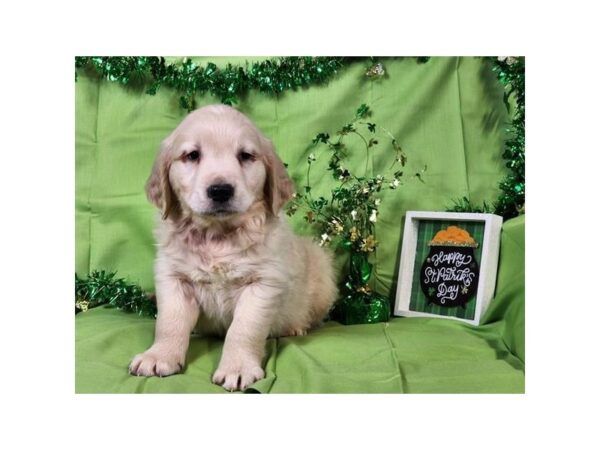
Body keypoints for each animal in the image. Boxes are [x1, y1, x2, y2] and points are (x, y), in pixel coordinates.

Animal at [128, 104, 338, 390]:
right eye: (192, 155)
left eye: (245, 156)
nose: (220, 190)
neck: (217, 236)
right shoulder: (173, 277)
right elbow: (169, 322)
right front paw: (159, 356)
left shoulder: (263, 283)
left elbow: (243, 329)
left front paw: (237, 368)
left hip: (322, 272)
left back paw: (295, 326)